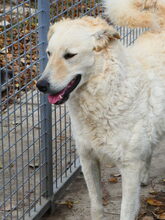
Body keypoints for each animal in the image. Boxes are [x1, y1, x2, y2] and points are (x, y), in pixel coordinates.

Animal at [37, 0, 165, 219]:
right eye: (49, 53)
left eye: (70, 55)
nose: (41, 85)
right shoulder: (88, 159)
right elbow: (96, 205)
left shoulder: (128, 167)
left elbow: (125, 211)